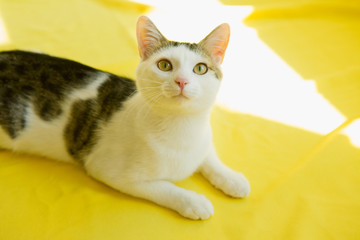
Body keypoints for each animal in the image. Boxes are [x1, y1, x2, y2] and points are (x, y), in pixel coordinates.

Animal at [0, 15, 249, 220]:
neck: (182, 127)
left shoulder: (203, 140)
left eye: (200, 69)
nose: (182, 81)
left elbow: (209, 157)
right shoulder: (110, 171)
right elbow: (164, 187)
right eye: (164, 65)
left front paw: (232, 178)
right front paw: (193, 201)